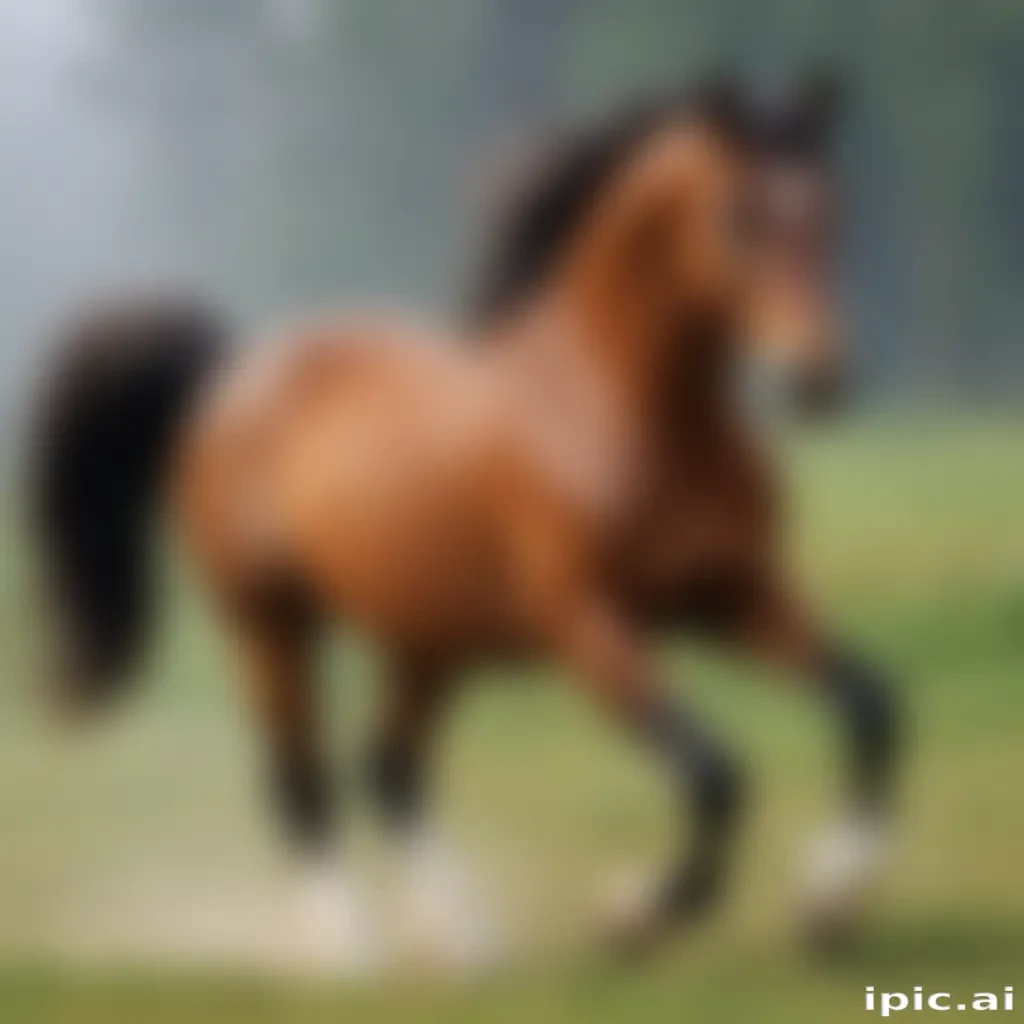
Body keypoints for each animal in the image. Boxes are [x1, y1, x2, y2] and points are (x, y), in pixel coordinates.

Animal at [31, 74, 900, 970]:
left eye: (829, 209)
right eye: (739, 214)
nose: (820, 380)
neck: (616, 414)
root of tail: (227, 374)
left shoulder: (734, 598)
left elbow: (874, 708)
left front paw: (828, 906)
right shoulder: (587, 625)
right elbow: (714, 775)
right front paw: (631, 914)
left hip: (425, 640)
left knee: (390, 771)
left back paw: (474, 943)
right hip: (268, 624)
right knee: (302, 782)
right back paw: (354, 951)